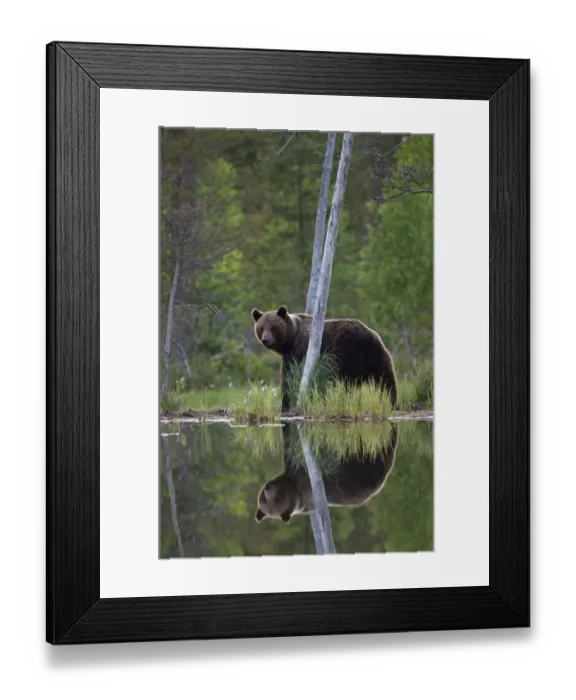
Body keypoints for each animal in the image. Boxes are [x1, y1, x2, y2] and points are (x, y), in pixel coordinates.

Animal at [250, 305, 398, 412]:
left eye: (273, 327)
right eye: (261, 328)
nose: (266, 340)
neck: (291, 340)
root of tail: (367, 335)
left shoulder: (300, 351)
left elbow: (290, 377)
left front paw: (285, 405)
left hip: (346, 350)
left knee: (348, 381)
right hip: (376, 353)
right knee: (386, 379)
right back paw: (392, 403)